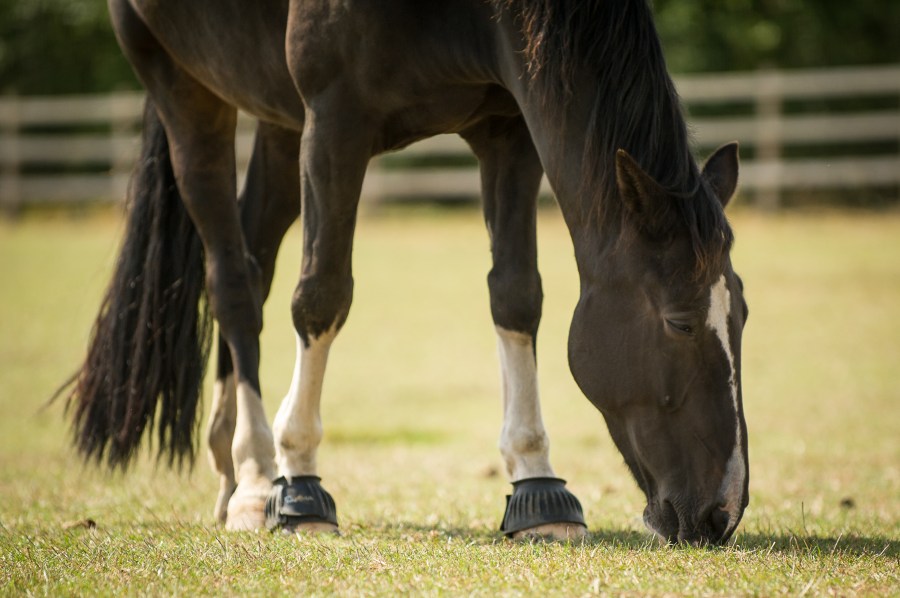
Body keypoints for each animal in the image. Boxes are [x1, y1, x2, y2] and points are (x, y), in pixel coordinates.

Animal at [63, 0, 748, 548]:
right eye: (680, 323)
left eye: (740, 315)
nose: (724, 511)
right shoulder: (335, 121)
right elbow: (322, 294)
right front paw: (300, 482)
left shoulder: (508, 129)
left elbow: (516, 295)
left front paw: (538, 486)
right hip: (185, 89)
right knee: (232, 282)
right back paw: (258, 478)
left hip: (279, 122)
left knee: (254, 264)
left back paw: (233, 472)